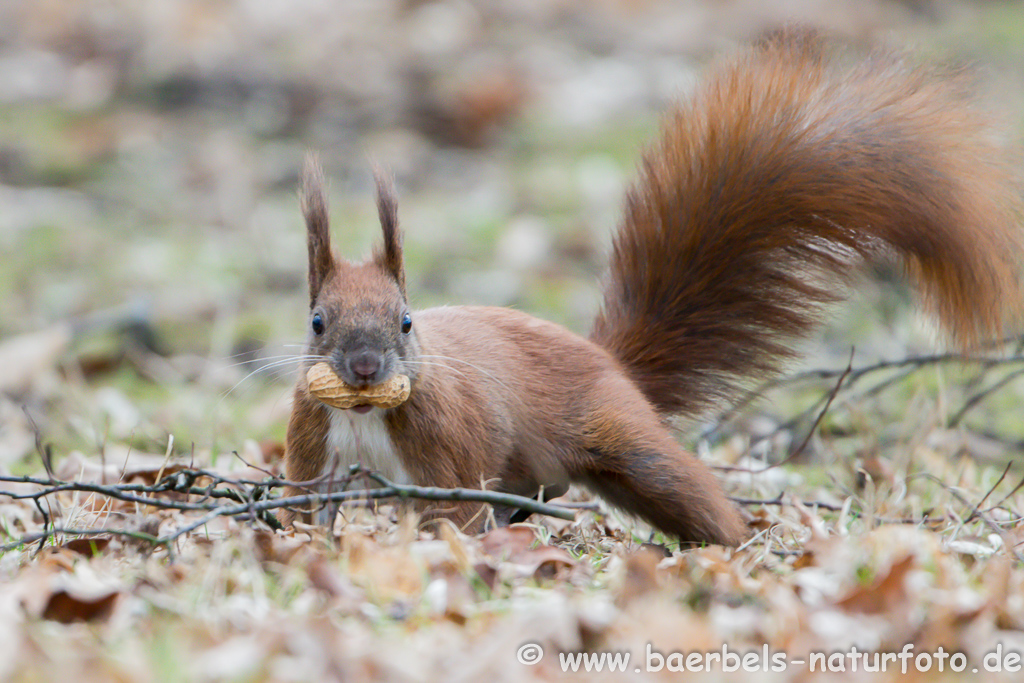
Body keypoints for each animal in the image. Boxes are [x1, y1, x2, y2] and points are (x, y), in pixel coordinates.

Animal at [276, 30, 1019, 544]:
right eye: (317, 321)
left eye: (406, 321)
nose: (364, 368)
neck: (366, 413)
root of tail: (610, 361)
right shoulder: (312, 455)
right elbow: (306, 510)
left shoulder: (449, 452)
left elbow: (452, 516)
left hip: (626, 441)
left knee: (687, 492)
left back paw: (741, 543)